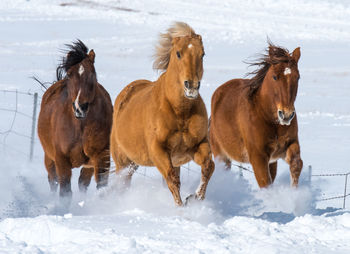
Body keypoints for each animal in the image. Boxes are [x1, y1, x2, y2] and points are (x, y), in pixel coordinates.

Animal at [37, 40, 113, 203]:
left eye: (92, 74)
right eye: (70, 74)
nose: (80, 107)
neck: (80, 127)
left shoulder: (101, 157)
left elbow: (101, 187)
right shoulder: (61, 160)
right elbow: (65, 192)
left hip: (88, 165)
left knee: (82, 183)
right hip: (49, 158)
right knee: (53, 181)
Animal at [110, 22, 215, 206]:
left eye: (202, 54)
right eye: (178, 53)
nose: (191, 86)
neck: (180, 112)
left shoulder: (198, 144)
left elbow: (208, 167)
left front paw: (196, 197)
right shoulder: (158, 150)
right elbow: (172, 179)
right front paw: (181, 207)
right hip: (123, 162)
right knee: (123, 183)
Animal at [209, 42, 302, 188]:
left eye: (297, 77)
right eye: (275, 76)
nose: (286, 115)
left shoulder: (288, 146)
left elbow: (296, 164)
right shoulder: (258, 157)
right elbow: (265, 183)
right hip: (221, 156)